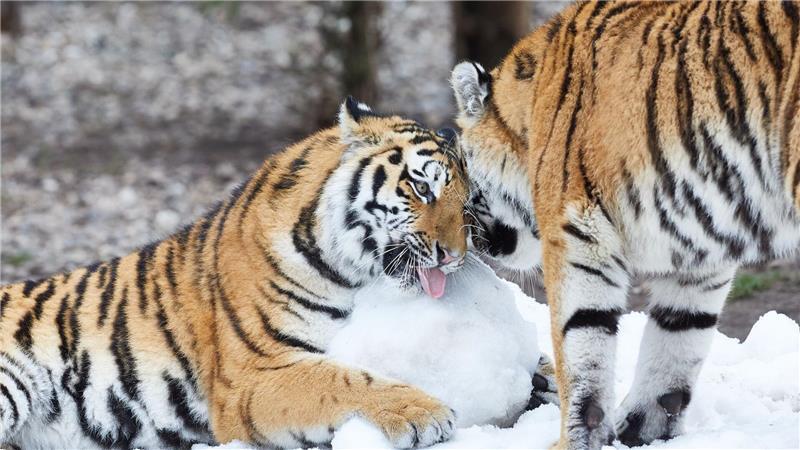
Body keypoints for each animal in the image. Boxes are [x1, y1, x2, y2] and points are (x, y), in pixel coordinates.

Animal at [0, 97, 472, 449]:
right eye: (422, 188)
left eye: (466, 203)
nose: (453, 256)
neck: (344, 269)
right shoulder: (251, 377)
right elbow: (341, 379)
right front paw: (425, 413)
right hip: (12, 381)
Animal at [449, 1, 800, 449]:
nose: (470, 237)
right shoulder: (698, 254)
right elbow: (677, 338)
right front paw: (645, 428)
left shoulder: (576, 229)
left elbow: (580, 345)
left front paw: (573, 438)